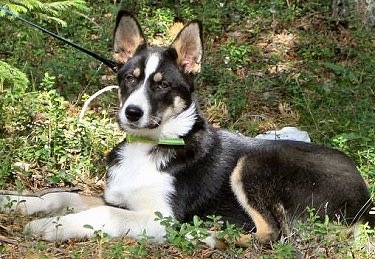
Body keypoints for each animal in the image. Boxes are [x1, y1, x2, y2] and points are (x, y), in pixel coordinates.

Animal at [0, 11, 375, 249]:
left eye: (163, 85)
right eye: (129, 79)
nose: (131, 113)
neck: (150, 145)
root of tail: (365, 196)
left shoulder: (159, 216)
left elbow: (102, 213)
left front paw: (53, 226)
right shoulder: (116, 197)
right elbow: (59, 195)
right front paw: (15, 202)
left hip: (254, 162)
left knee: (273, 234)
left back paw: (203, 236)